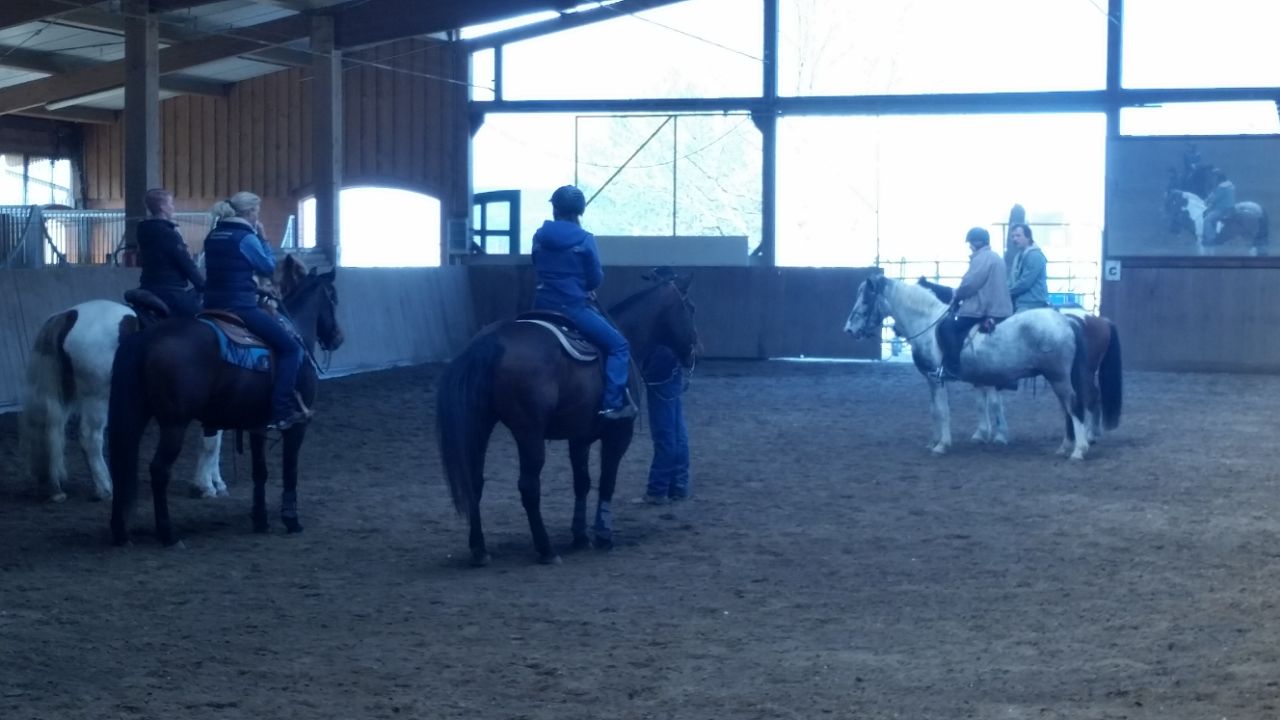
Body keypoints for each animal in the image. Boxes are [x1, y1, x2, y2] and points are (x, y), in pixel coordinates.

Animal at [21, 300, 225, 503]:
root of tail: (71, 315)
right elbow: (211, 445)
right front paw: (204, 486)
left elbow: (216, 446)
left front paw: (217, 482)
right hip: (97, 398)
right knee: (90, 437)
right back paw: (105, 488)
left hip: (66, 394)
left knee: (52, 432)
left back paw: (55, 487)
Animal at [108, 255, 344, 546]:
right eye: (333, 298)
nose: (338, 337)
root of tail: (146, 337)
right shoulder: (297, 425)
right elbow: (290, 470)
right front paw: (291, 520)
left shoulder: (257, 425)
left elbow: (259, 472)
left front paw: (260, 519)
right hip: (174, 424)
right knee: (159, 470)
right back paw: (168, 534)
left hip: (134, 415)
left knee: (121, 463)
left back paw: (120, 531)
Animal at [436, 273, 699, 566]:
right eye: (690, 309)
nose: (694, 351)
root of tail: (490, 342)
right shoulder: (618, 435)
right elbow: (607, 480)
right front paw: (603, 535)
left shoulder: (579, 438)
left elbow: (581, 482)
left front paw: (580, 535)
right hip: (528, 432)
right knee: (529, 486)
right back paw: (546, 549)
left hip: (480, 426)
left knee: (475, 482)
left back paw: (480, 549)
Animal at [845, 273, 1093, 460]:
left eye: (865, 299)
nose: (849, 330)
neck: (927, 323)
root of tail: (1066, 320)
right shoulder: (932, 380)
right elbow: (934, 411)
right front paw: (933, 441)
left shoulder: (938, 378)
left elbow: (943, 411)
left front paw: (942, 445)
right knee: (1066, 408)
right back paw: (1065, 447)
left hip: (1058, 377)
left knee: (1072, 405)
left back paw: (1078, 450)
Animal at [915, 277, 1122, 443]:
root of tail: (1098, 319)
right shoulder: (983, 376)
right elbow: (984, 403)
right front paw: (985, 434)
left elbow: (991, 403)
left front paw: (995, 435)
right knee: (1090, 397)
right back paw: (1089, 435)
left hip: (1082, 372)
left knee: (1088, 397)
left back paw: (1088, 436)